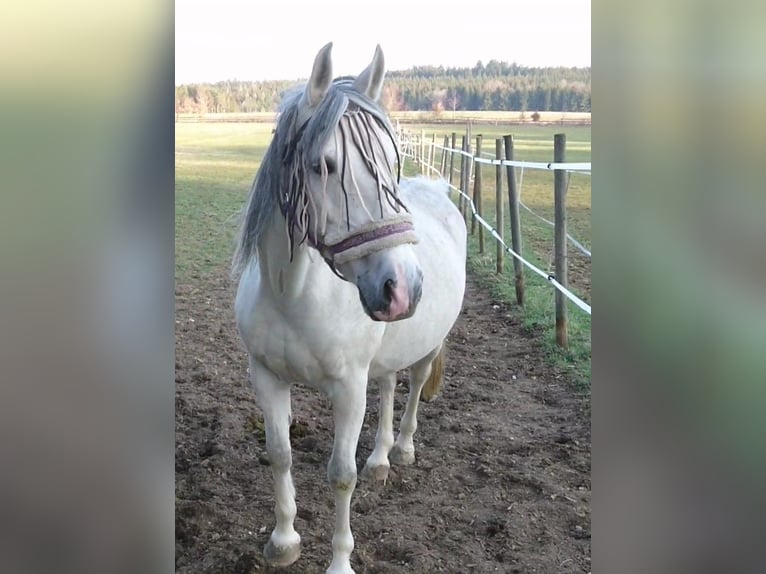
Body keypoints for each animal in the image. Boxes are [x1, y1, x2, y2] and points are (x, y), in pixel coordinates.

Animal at [231, 42, 468, 572]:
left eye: (390, 161)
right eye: (322, 165)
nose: (403, 287)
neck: (293, 296)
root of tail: (439, 189)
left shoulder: (348, 388)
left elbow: (341, 475)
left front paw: (339, 562)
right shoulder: (267, 376)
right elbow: (280, 455)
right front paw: (284, 542)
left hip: (427, 346)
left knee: (413, 387)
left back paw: (400, 451)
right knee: (389, 386)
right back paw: (379, 458)